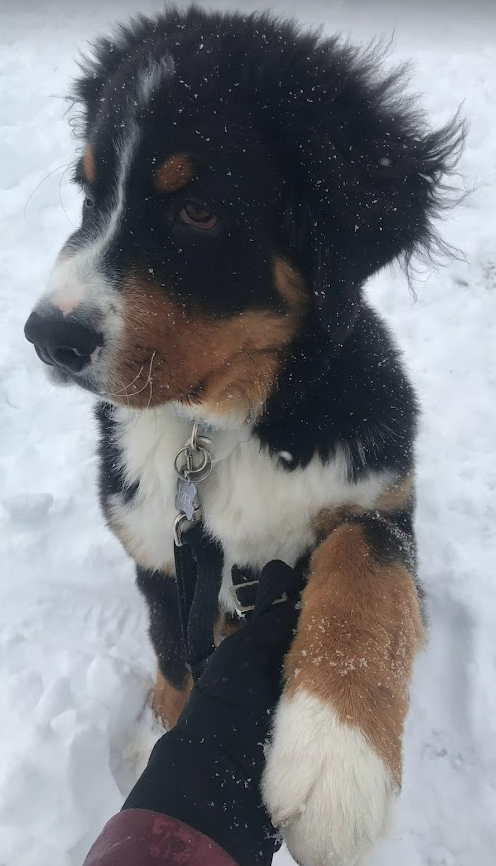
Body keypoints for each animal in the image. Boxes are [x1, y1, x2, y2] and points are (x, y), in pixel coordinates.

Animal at [25, 6, 464, 864]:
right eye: (89, 194)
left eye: (198, 211)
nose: (46, 337)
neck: (226, 425)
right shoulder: (156, 541)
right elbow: (175, 645)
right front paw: (167, 727)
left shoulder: (378, 497)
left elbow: (367, 586)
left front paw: (334, 762)